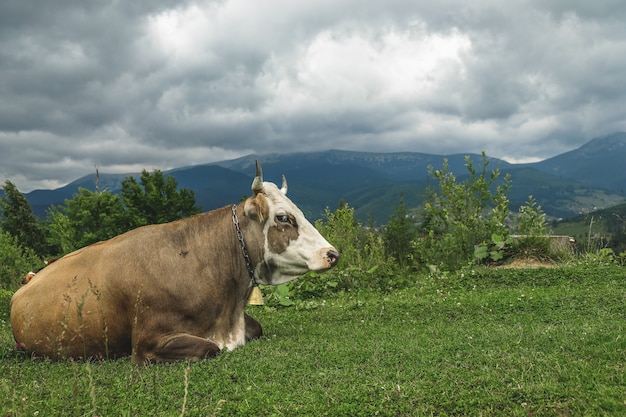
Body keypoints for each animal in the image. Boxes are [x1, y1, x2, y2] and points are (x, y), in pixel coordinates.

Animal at [9, 161, 338, 362]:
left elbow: (256, 328)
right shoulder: (148, 342)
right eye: (283, 217)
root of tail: (29, 280)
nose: (332, 253)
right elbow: (208, 347)